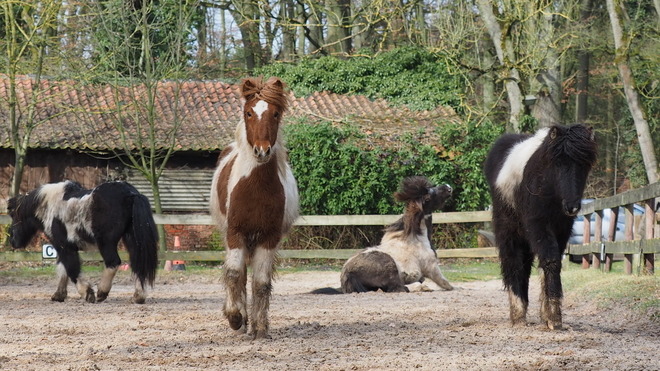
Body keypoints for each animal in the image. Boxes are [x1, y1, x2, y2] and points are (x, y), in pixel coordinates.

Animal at [7, 180, 159, 306]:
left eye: (13, 215)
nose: (13, 241)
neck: (50, 206)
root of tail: (132, 194)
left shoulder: (64, 246)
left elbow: (71, 268)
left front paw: (87, 292)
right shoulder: (64, 248)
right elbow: (63, 269)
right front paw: (59, 295)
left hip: (106, 243)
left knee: (113, 263)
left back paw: (102, 292)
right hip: (132, 240)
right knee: (138, 264)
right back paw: (138, 297)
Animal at [209, 77, 300, 342]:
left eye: (275, 113)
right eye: (249, 113)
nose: (262, 151)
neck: (255, 188)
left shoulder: (269, 238)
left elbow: (261, 283)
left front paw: (260, 328)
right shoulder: (235, 233)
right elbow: (233, 274)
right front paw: (235, 317)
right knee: (238, 275)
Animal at [312, 176, 456, 294]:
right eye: (429, 195)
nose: (448, 187)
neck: (417, 238)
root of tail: (347, 273)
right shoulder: (432, 268)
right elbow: (446, 284)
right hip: (389, 266)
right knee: (398, 288)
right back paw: (422, 287)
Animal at [484, 125, 600, 332]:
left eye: (584, 164)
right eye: (558, 163)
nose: (572, 207)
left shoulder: (561, 229)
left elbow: (551, 261)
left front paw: (548, 314)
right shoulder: (538, 225)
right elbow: (550, 260)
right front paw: (554, 316)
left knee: (525, 266)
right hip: (509, 230)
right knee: (514, 262)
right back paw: (518, 315)